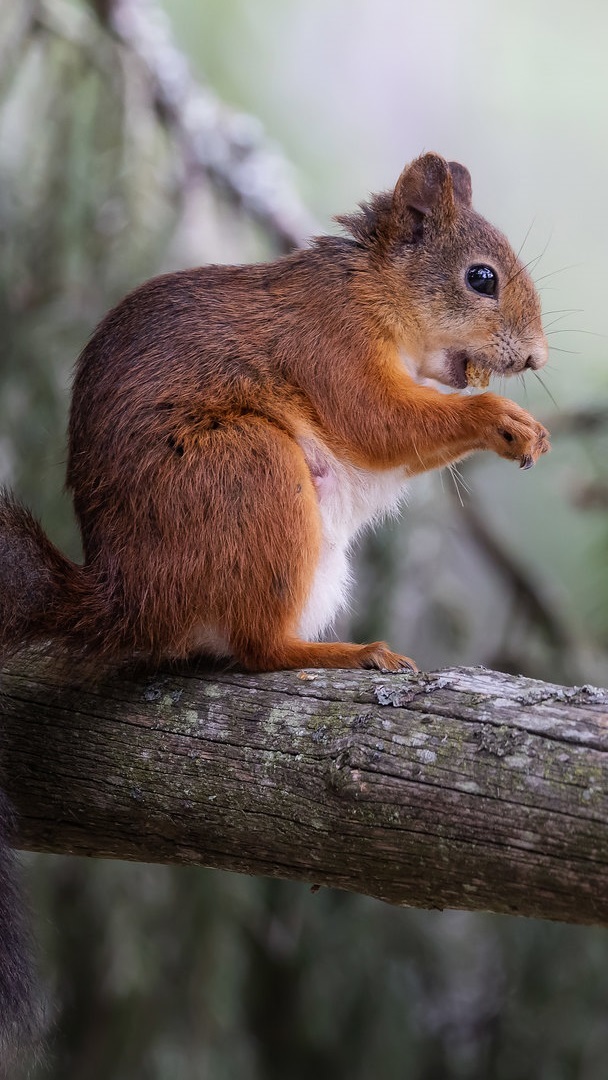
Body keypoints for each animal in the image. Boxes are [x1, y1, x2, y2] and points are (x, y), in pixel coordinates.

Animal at [1, 156, 552, 1058]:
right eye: (482, 278)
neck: (373, 291)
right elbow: (380, 419)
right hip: (249, 470)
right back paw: (345, 654)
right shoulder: (329, 345)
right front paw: (498, 418)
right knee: (258, 649)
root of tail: (125, 594)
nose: (536, 356)